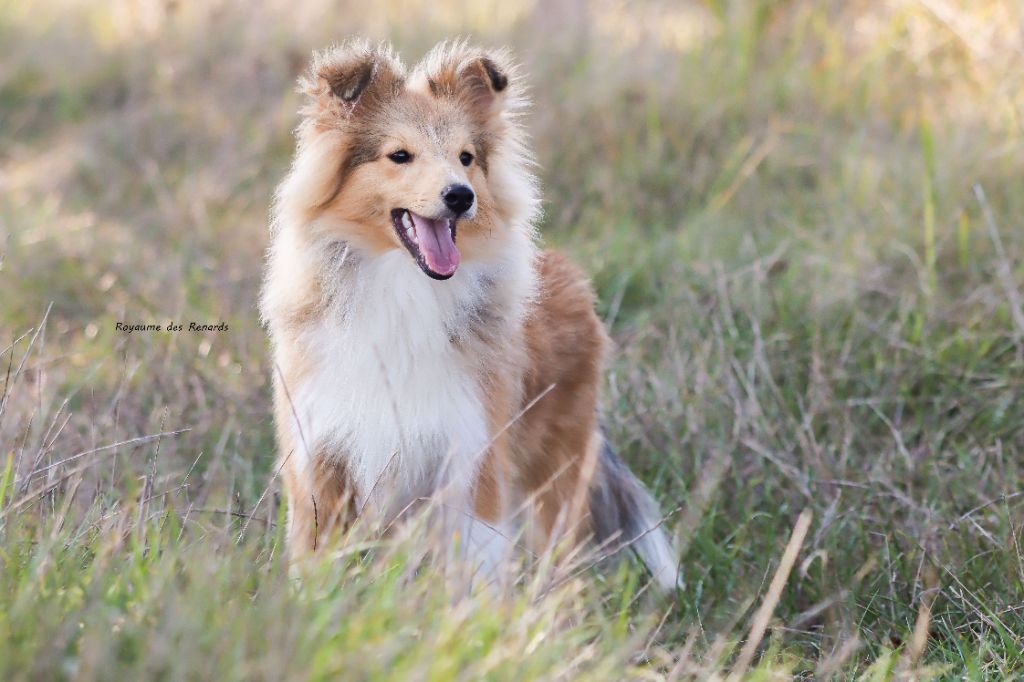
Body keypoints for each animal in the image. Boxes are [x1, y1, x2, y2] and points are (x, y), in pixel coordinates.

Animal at [258, 39, 679, 585]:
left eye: (466, 157)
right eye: (399, 155)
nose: (460, 196)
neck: (404, 290)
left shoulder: (473, 458)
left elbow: (475, 568)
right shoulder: (320, 459)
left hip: (554, 476)